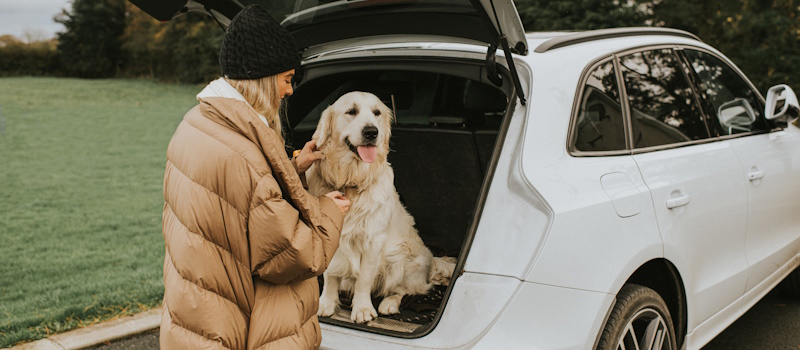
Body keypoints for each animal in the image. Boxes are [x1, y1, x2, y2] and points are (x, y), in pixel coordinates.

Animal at [308, 91, 454, 324]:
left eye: (377, 112)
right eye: (351, 111)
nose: (371, 132)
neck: (351, 180)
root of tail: (432, 260)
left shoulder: (373, 240)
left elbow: (364, 279)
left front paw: (362, 309)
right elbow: (329, 273)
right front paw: (326, 304)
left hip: (401, 259)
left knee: (408, 290)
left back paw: (389, 303)